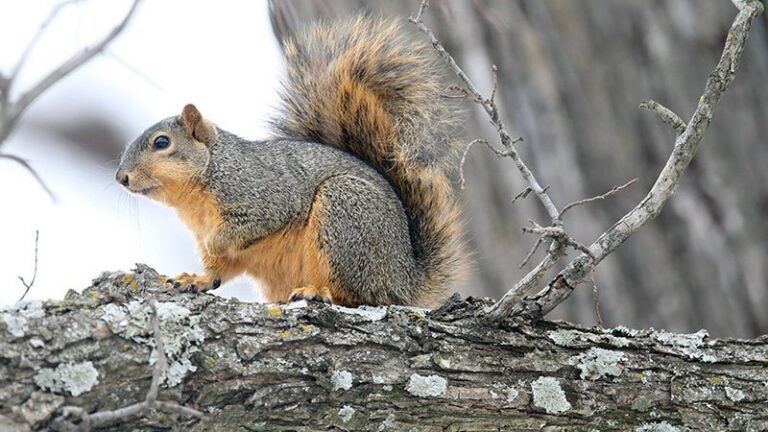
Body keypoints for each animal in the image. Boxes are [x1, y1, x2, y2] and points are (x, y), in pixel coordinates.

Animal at [115, 15, 466, 307]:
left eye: (162, 142)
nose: (121, 177)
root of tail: (405, 280)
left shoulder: (260, 194)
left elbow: (252, 224)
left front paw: (218, 242)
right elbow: (218, 271)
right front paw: (196, 279)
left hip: (345, 216)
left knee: (356, 294)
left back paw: (318, 291)